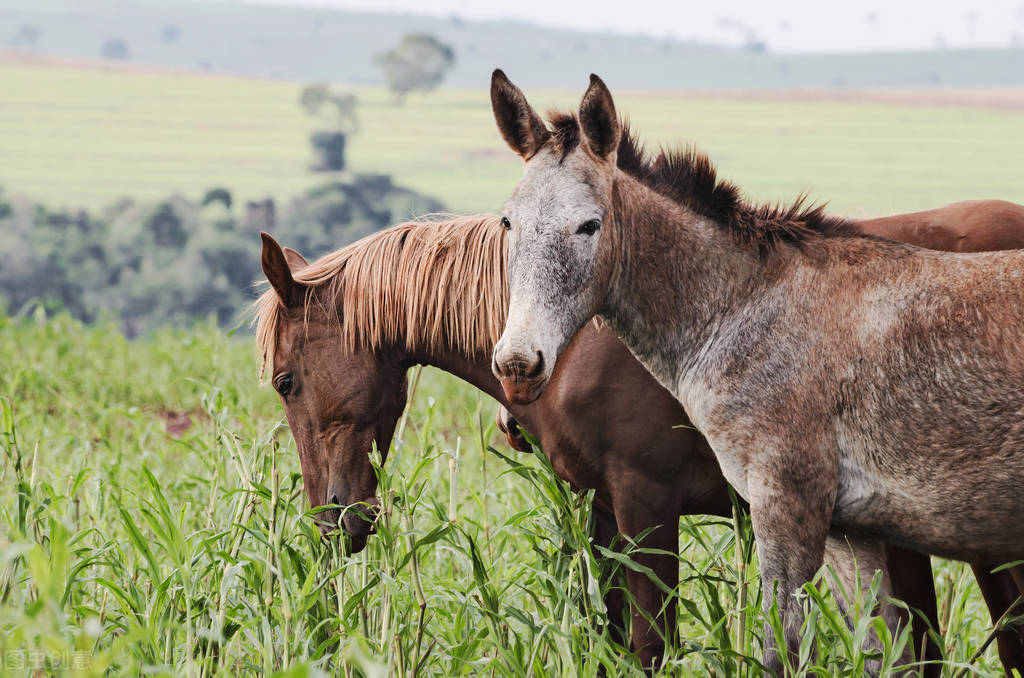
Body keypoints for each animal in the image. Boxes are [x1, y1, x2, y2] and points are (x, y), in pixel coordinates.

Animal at [253, 210, 1024, 675]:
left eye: (286, 380)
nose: (335, 520)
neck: (568, 336)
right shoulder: (604, 510)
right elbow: (614, 639)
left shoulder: (647, 504)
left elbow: (653, 644)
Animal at [485, 71, 1024, 675]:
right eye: (508, 222)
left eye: (589, 225)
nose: (518, 365)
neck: (745, 309)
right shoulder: (850, 535)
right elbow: (884, 653)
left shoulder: (785, 511)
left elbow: (779, 651)